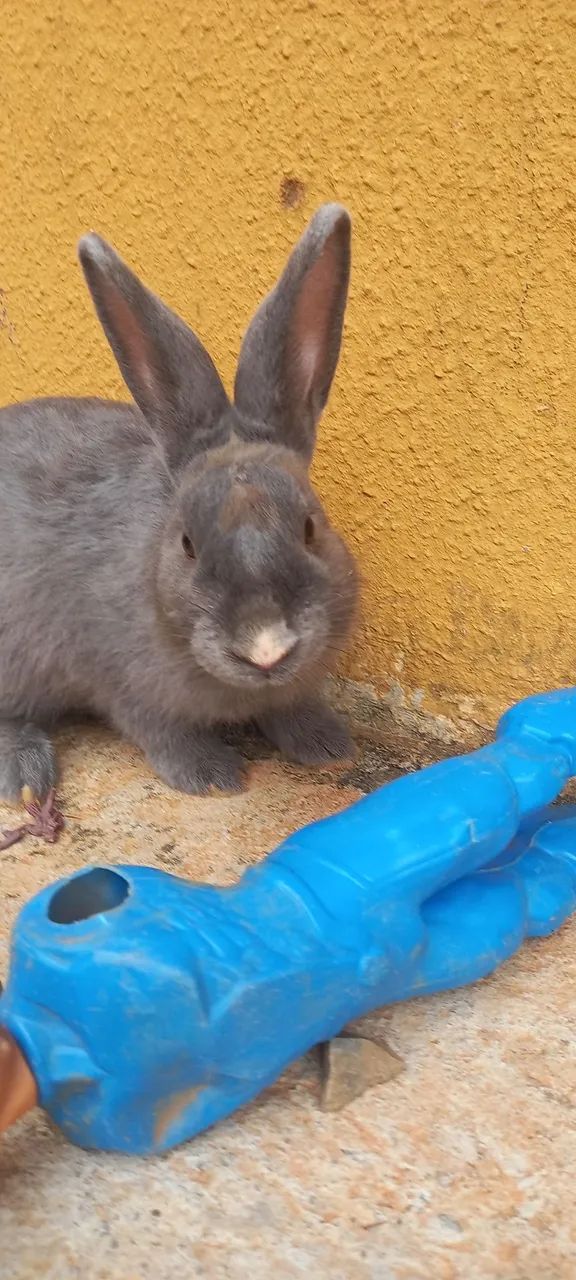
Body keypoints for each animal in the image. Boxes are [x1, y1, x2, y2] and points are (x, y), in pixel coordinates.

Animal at [0, 204, 359, 799]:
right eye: (188, 544)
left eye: (311, 527)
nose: (265, 648)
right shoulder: (124, 682)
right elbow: (162, 730)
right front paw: (212, 777)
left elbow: (291, 707)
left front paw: (327, 745)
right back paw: (26, 771)